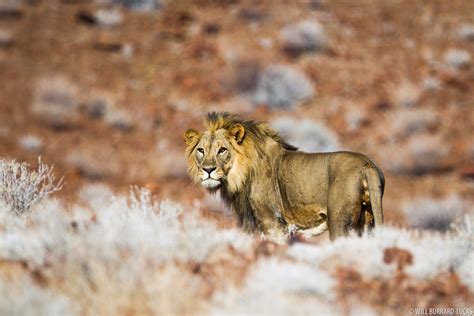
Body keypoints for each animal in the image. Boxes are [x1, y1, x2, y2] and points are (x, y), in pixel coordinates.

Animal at [183, 112, 384, 241]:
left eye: (222, 150)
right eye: (201, 150)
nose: (208, 170)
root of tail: (368, 165)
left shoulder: (272, 221)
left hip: (340, 221)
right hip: (367, 220)